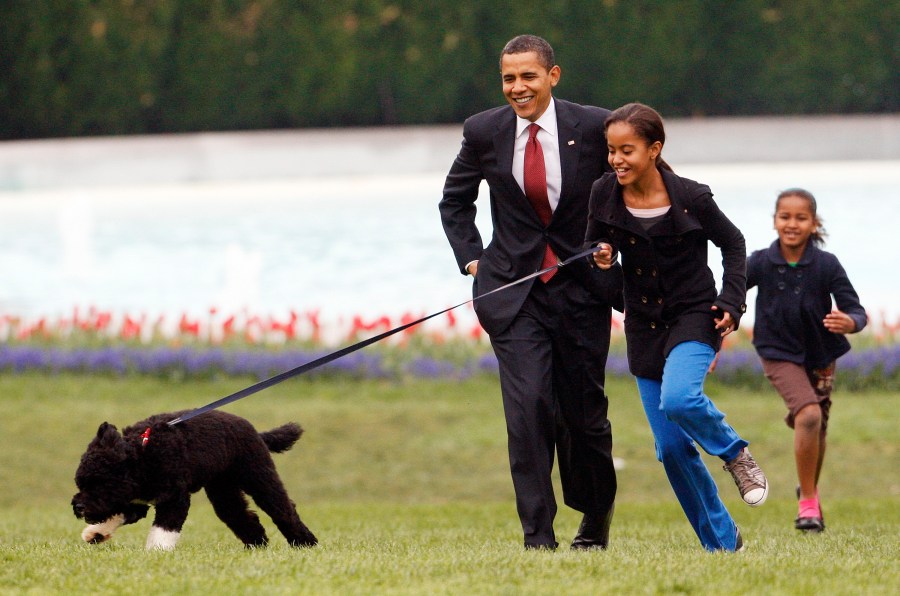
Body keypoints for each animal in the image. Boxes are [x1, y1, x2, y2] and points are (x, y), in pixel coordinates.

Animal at [74, 410, 320, 548]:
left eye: (100, 482)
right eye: (81, 483)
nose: (78, 507)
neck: (142, 457)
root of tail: (256, 433)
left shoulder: (175, 498)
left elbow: (163, 529)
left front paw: (156, 552)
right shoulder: (135, 501)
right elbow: (118, 515)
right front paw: (96, 533)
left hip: (258, 476)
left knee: (283, 508)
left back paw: (305, 543)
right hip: (223, 488)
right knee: (240, 515)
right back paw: (257, 544)